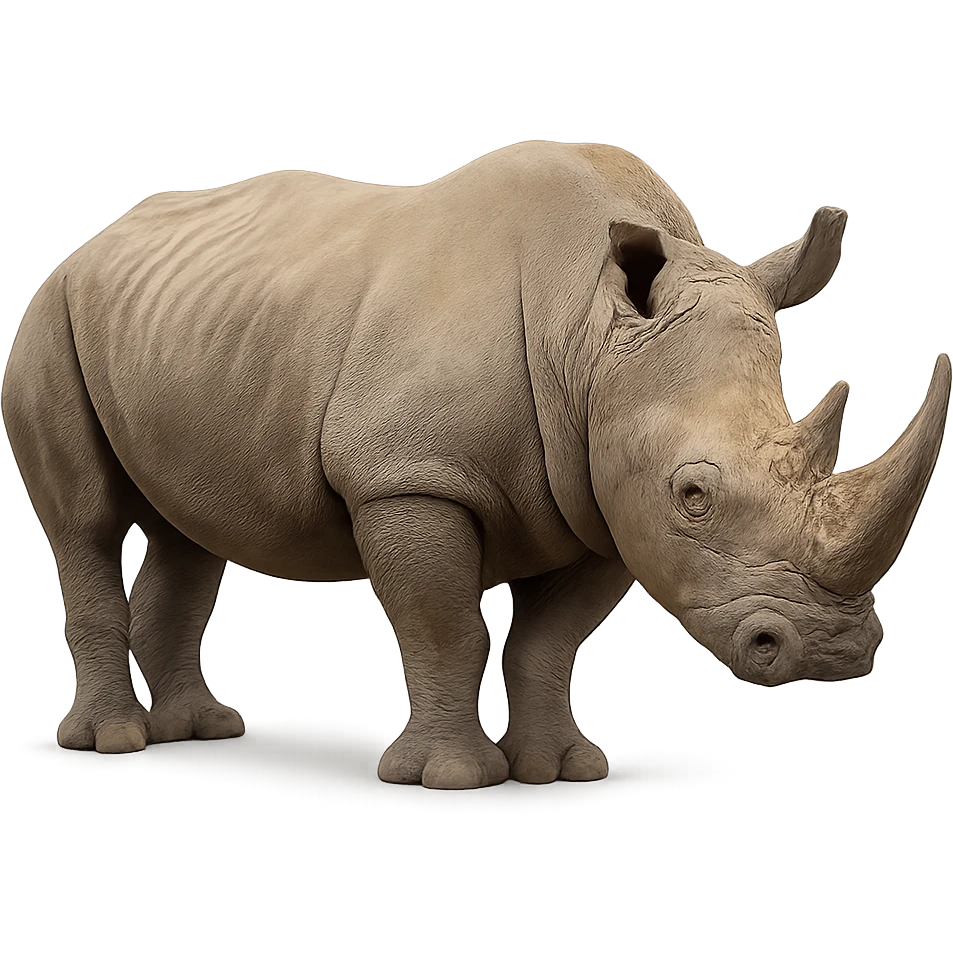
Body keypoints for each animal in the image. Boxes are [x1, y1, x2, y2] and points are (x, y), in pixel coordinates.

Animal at [3, 141, 949, 791]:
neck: (588, 333)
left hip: (182, 325)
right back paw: (116, 743)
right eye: (692, 495)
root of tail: (91, 241)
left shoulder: (601, 495)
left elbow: (548, 640)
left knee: (188, 533)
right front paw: (451, 779)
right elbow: (444, 626)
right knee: (85, 524)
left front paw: (560, 771)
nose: (830, 654)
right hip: (49, 314)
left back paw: (202, 731)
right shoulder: (407, 474)